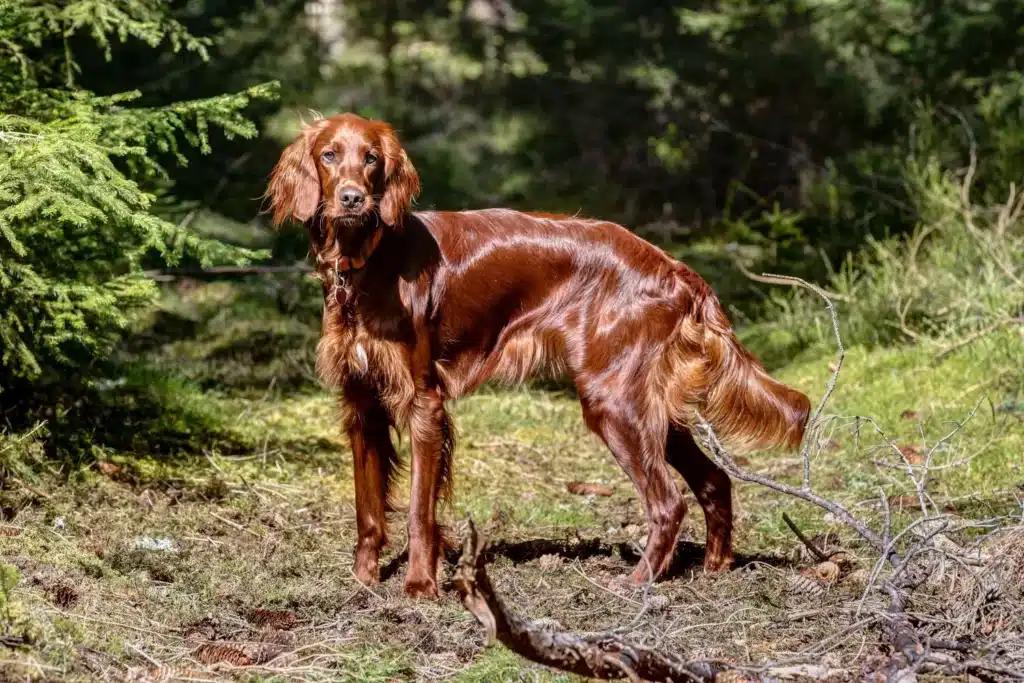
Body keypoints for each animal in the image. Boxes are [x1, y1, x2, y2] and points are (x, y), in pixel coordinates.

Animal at [268, 114, 811, 602]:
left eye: (372, 159)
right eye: (329, 155)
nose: (352, 198)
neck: (368, 263)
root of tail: (674, 268)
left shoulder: (424, 403)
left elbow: (421, 510)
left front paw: (420, 587)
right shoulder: (361, 403)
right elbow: (368, 508)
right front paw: (362, 580)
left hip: (613, 401)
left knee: (668, 502)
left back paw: (637, 583)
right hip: (646, 404)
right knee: (715, 480)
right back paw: (716, 567)